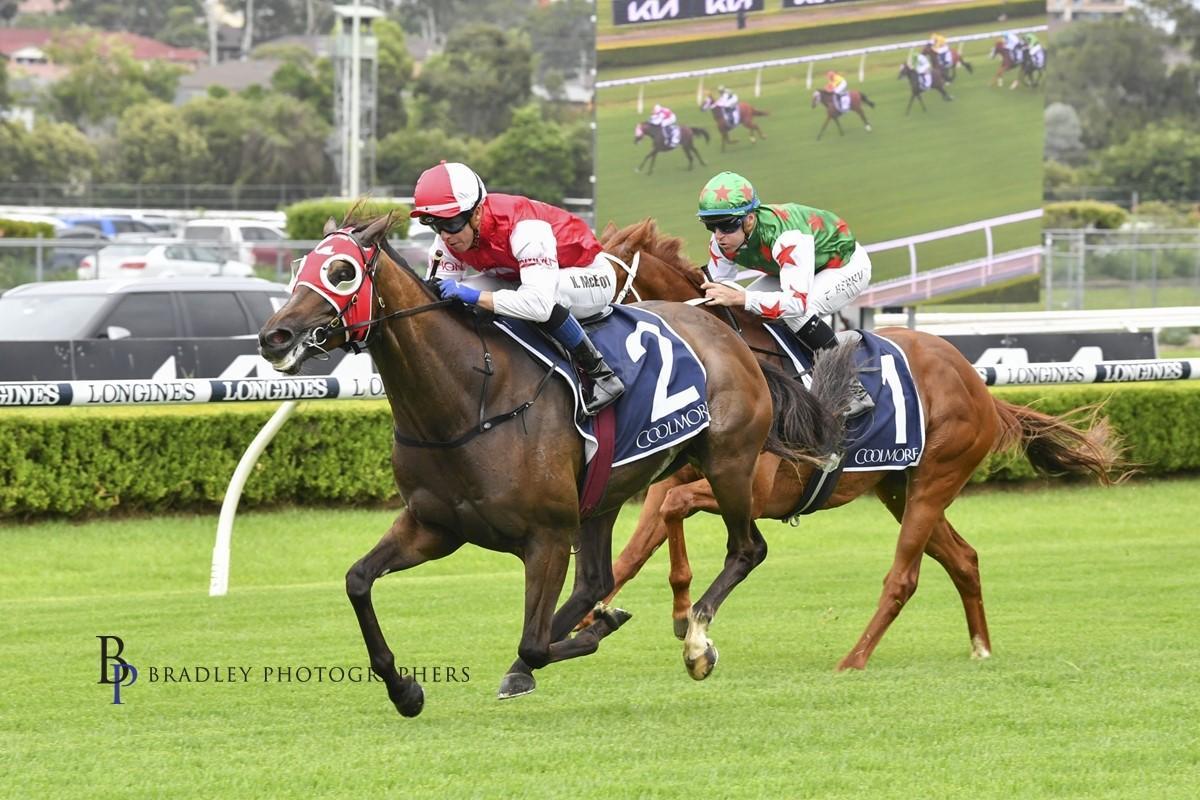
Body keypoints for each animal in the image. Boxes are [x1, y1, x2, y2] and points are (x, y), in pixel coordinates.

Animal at [260, 212, 854, 714]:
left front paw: (585, 637)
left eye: (341, 271)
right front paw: (404, 690)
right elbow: (358, 581)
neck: (467, 400)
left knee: (746, 548)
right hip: (607, 491)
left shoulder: (545, 536)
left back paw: (695, 643)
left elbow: (534, 642)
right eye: (299, 266)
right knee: (594, 581)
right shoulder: (433, 526)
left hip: (728, 462)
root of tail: (728, 334)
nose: (274, 336)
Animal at [590, 221, 1123, 671]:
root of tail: (979, 386)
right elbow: (641, 542)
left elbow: (676, 510)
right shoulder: (680, 478)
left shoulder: (760, 494)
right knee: (964, 558)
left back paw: (854, 659)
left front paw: (687, 623)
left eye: (594, 281)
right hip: (898, 487)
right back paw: (981, 649)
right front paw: (610, 614)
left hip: (935, 479)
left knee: (904, 577)